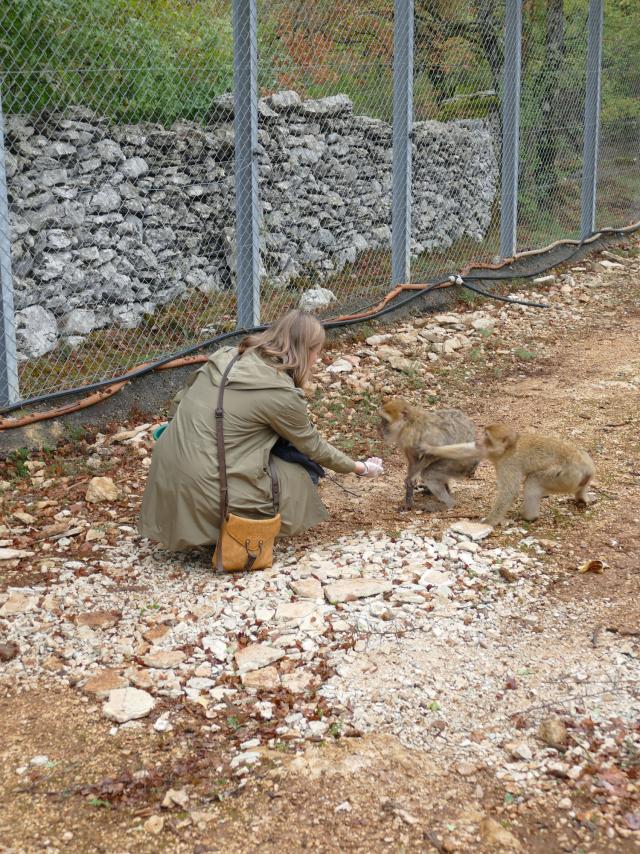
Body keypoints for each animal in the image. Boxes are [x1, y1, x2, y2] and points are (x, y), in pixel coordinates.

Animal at [420, 422, 596, 524]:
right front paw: (429, 448)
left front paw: (489, 522)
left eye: (487, 437)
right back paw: (582, 496)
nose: (479, 440)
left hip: (566, 476)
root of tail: (585, 469)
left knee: (532, 482)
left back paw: (529, 517)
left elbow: (509, 492)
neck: (506, 450)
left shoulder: (508, 465)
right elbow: (467, 450)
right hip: (583, 467)